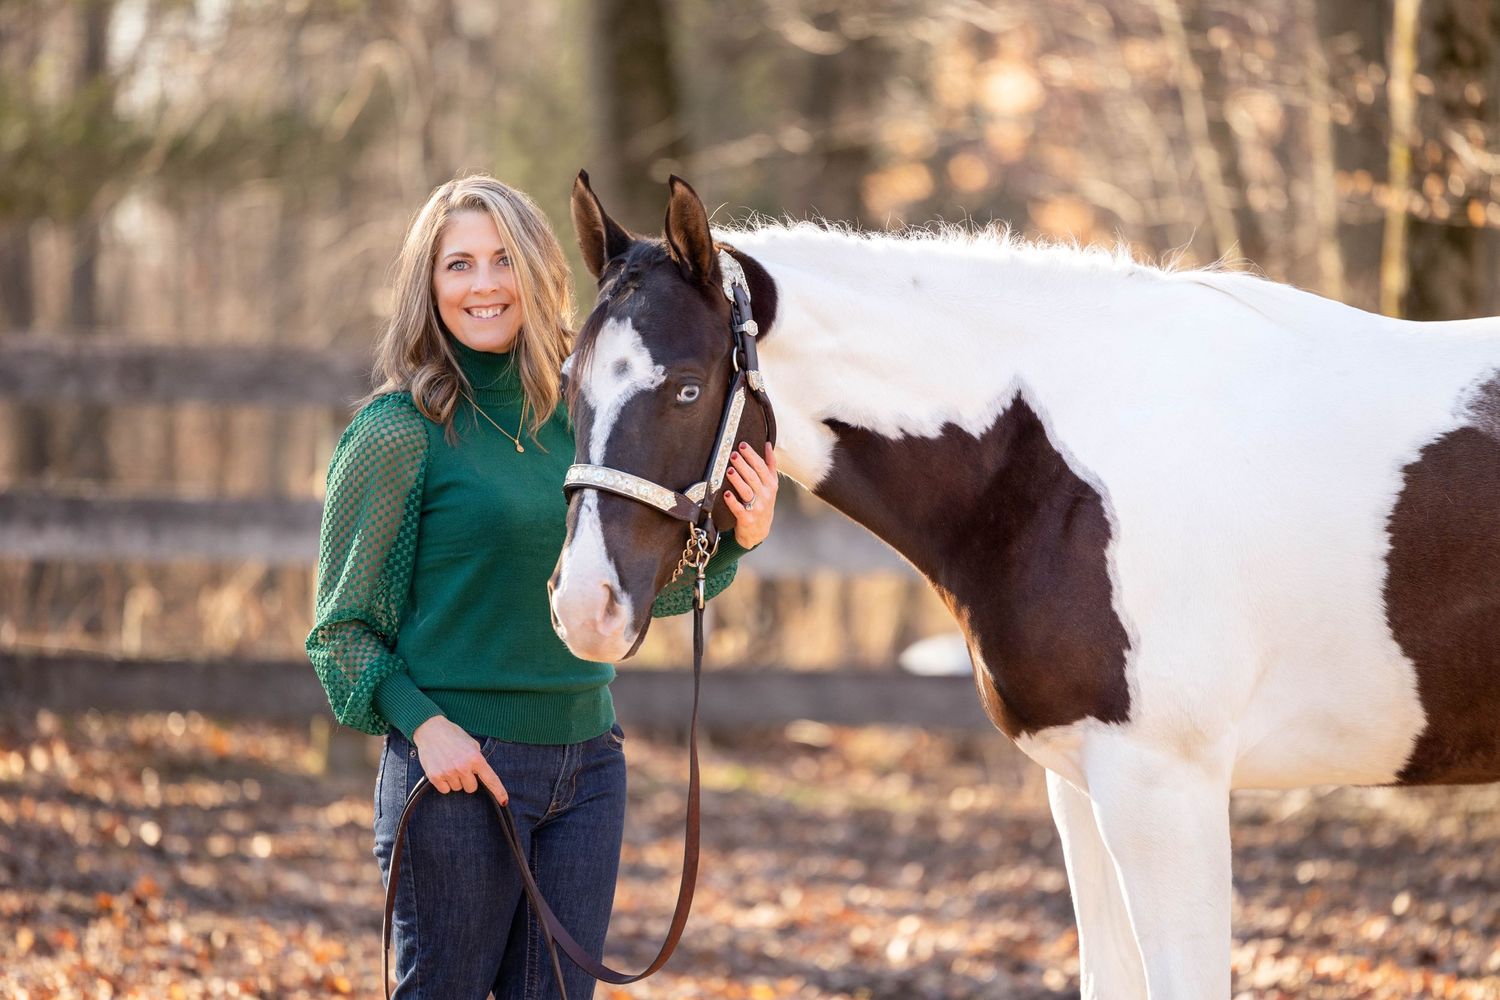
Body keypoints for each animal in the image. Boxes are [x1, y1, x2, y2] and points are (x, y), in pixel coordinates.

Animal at [546, 171, 1500, 999]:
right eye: (566, 386)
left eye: (686, 388)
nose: (584, 608)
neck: (1059, 468)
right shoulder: (1085, 784)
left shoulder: (1165, 791)